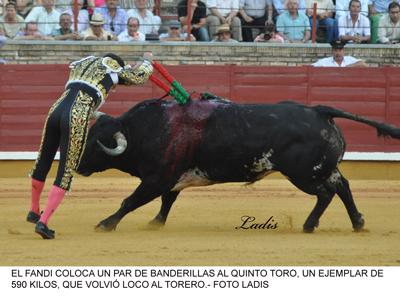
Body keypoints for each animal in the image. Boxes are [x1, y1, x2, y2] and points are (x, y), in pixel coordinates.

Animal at [76, 98, 400, 232]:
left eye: (95, 143)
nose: (76, 166)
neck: (145, 130)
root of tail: (319, 111)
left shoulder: (157, 178)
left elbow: (130, 201)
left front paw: (105, 224)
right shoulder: (171, 178)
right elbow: (168, 201)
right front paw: (155, 224)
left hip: (303, 174)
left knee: (326, 193)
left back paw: (309, 226)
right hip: (324, 168)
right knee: (342, 187)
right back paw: (358, 223)